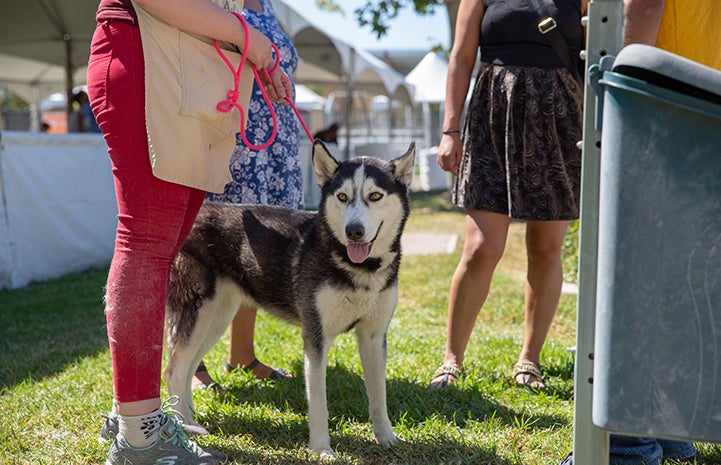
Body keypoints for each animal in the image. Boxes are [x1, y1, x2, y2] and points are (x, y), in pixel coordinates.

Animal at [161, 139, 414, 454]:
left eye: (375, 195)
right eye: (342, 196)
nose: (353, 231)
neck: (357, 267)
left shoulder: (374, 336)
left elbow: (378, 395)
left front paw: (386, 437)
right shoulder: (315, 337)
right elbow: (318, 402)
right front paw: (321, 448)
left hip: (215, 319)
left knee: (187, 369)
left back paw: (191, 418)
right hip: (197, 313)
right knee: (173, 371)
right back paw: (183, 426)